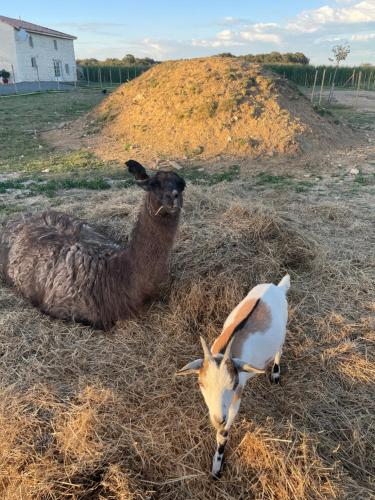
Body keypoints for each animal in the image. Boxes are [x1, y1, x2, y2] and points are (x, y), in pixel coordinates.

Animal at [176, 276, 290, 478]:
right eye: (201, 383)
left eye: (233, 384)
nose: (218, 419)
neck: (225, 351)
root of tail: (276, 287)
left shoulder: (237, 396)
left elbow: (223, 433)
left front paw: (217, 467)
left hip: (283, 330)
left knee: (279, 349)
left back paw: (275, 374)